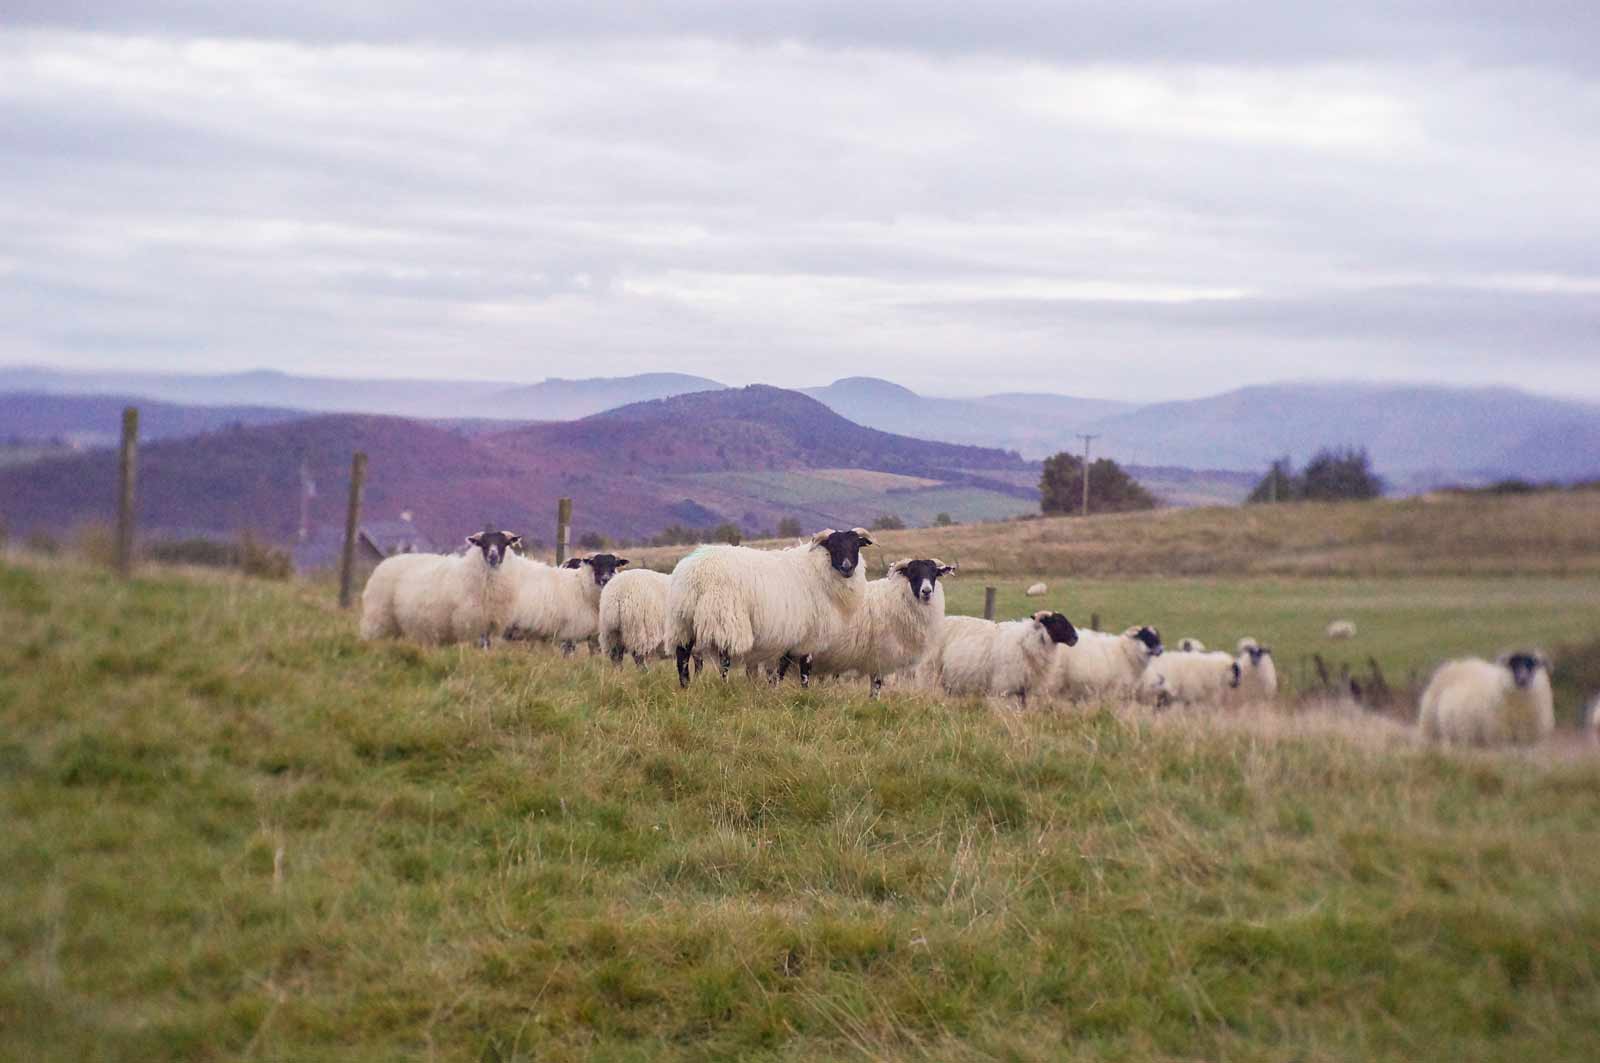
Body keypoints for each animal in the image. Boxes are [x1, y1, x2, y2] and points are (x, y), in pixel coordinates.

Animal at [359, 529, 524, 647]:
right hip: (377, 620)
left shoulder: (490, 625)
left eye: (504, 543)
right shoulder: (468, 626)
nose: (493, 556)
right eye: (483, 544)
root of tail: (387, 561)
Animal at [667, 528, 873, 688]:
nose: (847, 567)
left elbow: (780, 667)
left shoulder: (788, 633)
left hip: (683, 620)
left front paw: (774, 688)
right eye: (833, 545)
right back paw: (723, 685)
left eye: (856, 545)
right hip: (726, 616)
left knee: (682, 655)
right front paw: (801, 690)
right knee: (724, 660)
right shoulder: (805, 634)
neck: (816, 569)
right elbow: (802, 667)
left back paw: (685, 685)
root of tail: (695, 572)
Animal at [919, 610, 1078, 706]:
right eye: (1057, 621)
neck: (1027, 640)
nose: (1075, 638)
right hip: (931, 671)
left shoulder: (1024, 690)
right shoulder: (1002, 689)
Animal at [1417, 651, 1554, 747]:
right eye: (1513, 665)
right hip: (1431, 728)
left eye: (1531, 665)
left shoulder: (1530, 742)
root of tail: (1455, 663)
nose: (1523, 679)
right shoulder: (1498, 739)